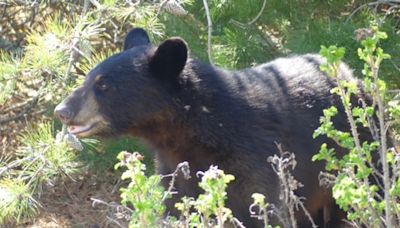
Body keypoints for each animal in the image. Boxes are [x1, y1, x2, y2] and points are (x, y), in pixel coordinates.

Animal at [54, 27, 356, 227]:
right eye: (89, 77)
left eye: (103, 85)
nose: (62, 111)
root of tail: (345, 69)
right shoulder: (175, 167)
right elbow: (177, 206)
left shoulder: (256, 157)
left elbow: (263, 207)